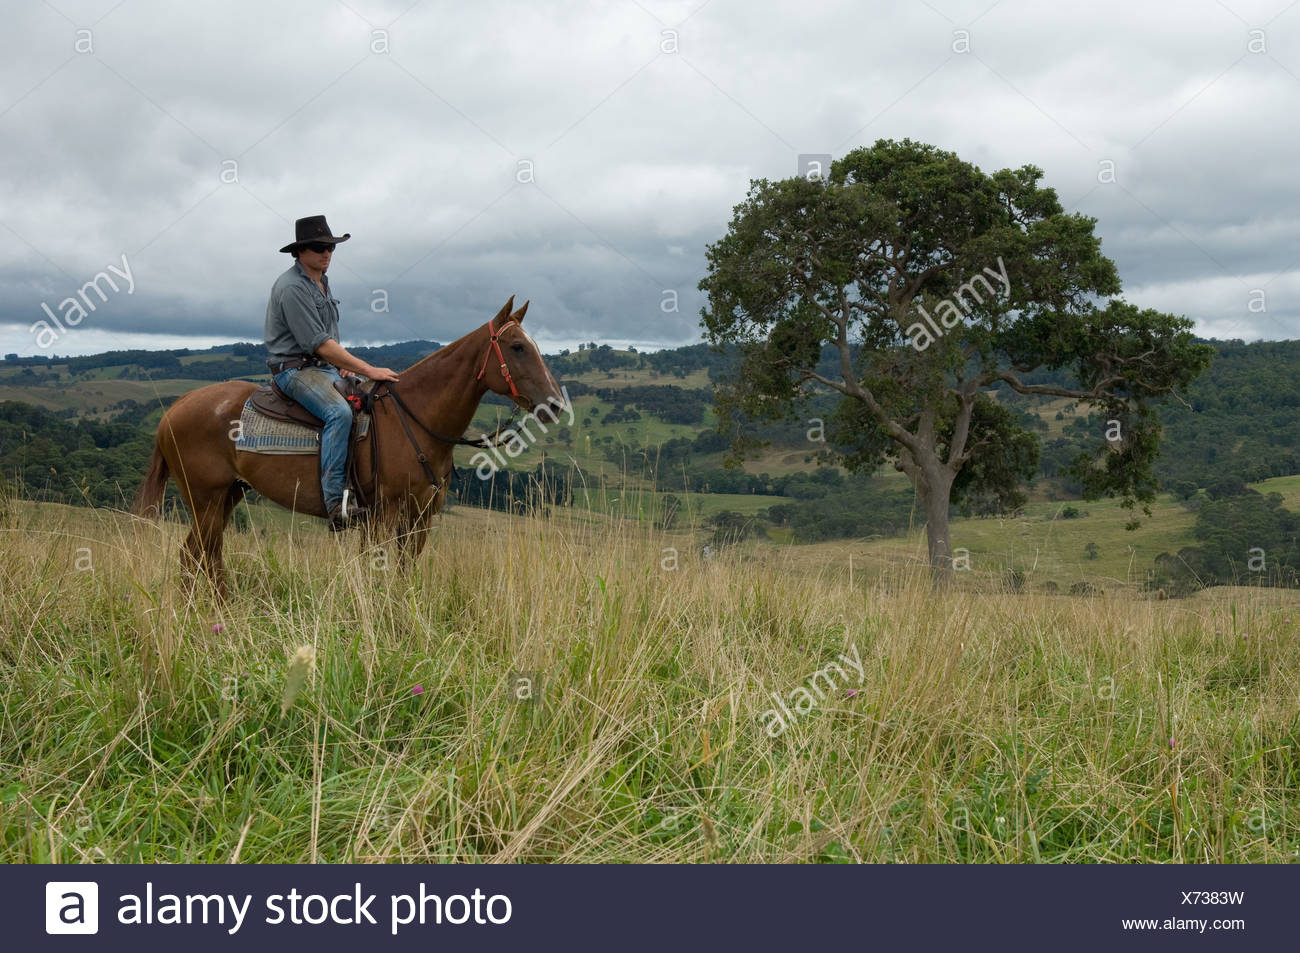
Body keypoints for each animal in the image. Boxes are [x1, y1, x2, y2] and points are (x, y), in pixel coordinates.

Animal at [131, 296, 565, 598]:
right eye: (517, 347)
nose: (555, 404)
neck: (415, 419)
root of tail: (173, 411)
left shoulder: (420, 518)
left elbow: (404, 576)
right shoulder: (383, 516)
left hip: (227, 496)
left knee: (200, 555)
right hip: (205, 499)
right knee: (199, 555)